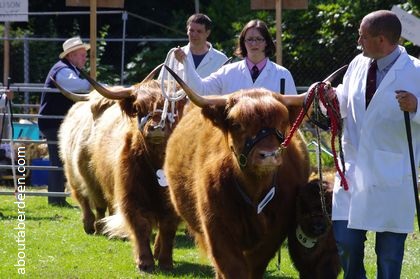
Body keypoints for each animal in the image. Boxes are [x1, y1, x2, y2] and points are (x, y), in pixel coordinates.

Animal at [164, 66, 312, 278]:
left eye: (282, 123)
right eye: (237, 125)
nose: (269, 155)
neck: (255, 188)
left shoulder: (275, 230)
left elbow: (255, 264)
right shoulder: (217, 228)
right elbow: (232, 267)